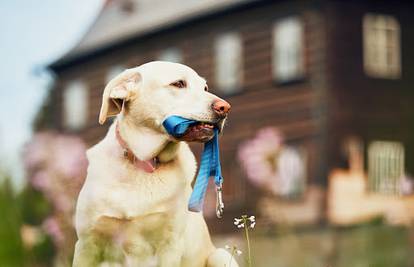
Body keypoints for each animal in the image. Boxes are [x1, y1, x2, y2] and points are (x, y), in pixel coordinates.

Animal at [73, 61, 238, 266]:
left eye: (205, 88)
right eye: (178, 84)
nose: (225, 107)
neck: (144, 162)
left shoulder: (170, 244)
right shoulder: (87, 243)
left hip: (220, 255)